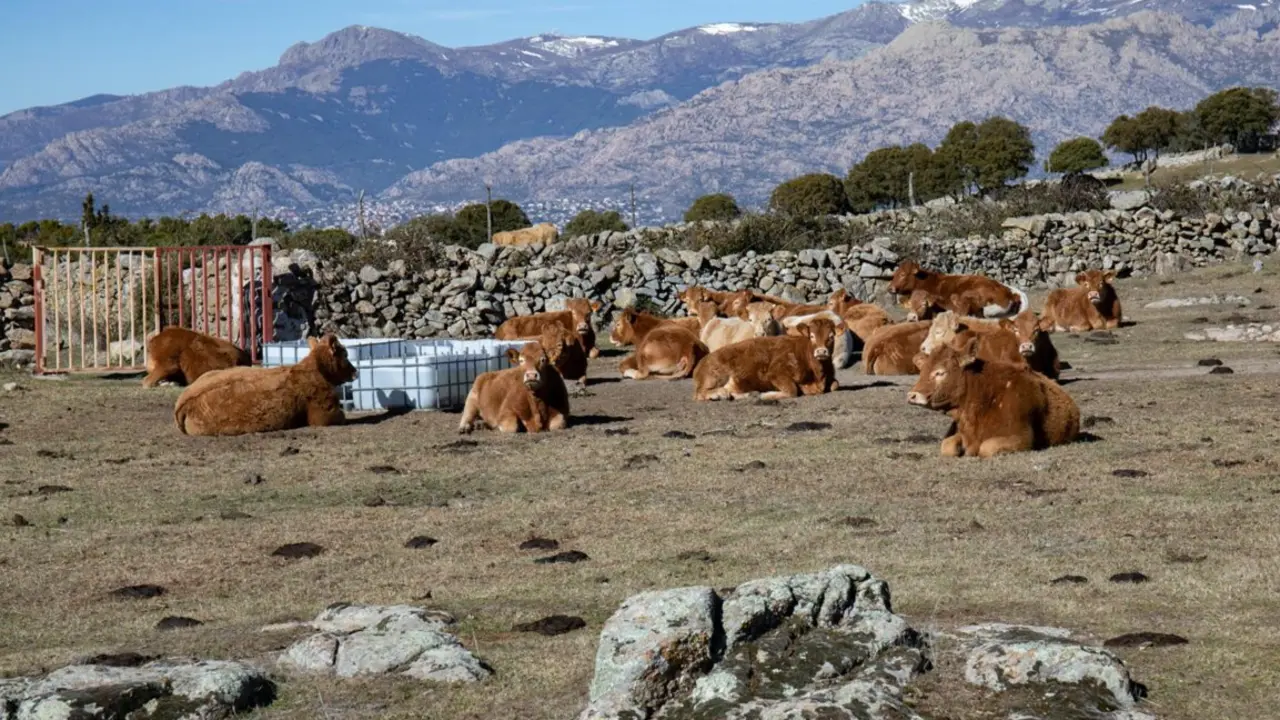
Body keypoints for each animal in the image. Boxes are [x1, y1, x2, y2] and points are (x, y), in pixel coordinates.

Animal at [692, 318, 839, 401]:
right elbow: (792, 390)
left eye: (831, 336)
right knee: (699, 393)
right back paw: (719, 394)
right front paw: (766, 395)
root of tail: (701, 363)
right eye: (812, 336)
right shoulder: (775, 372)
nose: (821, 351)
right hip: (715, 375)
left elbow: (835, 385)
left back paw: (749, 394)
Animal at [907, 336, 1080, 458]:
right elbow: (947, 446)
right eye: (922, 371)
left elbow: (986, 448)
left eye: (940, 372)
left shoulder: (1021, 438)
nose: (912, 395)